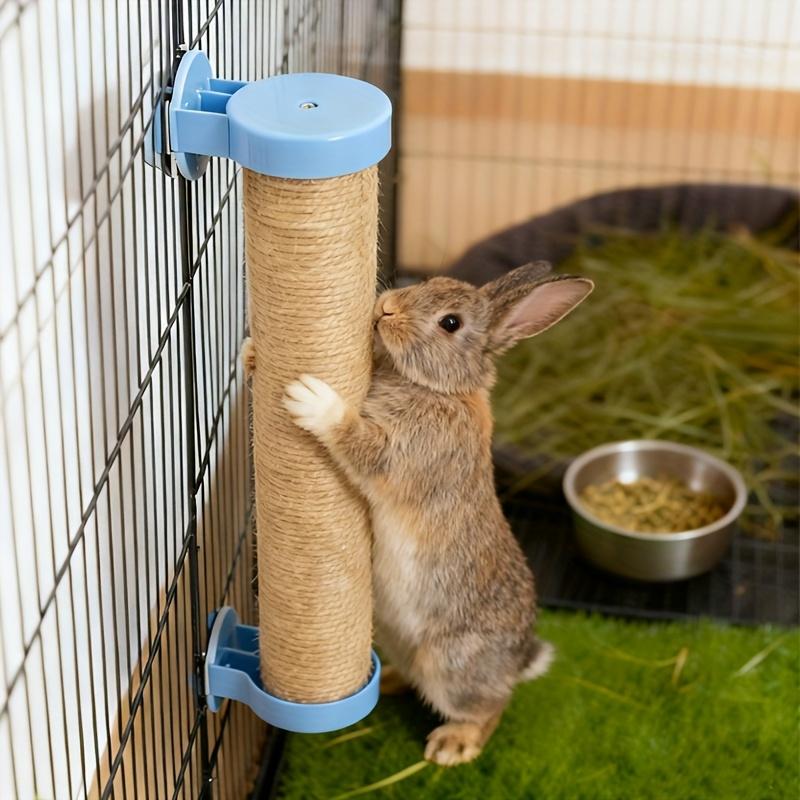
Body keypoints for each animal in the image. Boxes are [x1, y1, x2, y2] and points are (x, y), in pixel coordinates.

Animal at [281, 261, 594, 766]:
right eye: (430, 283)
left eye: (451, 323)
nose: (387, 308)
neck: (440, 388)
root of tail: (518, 662)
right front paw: (252, 352)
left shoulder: (401, 453)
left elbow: (355, 440)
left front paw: (311, 398)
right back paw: (388, 682)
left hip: (449, 664)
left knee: (489, 708)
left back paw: (453, 746)